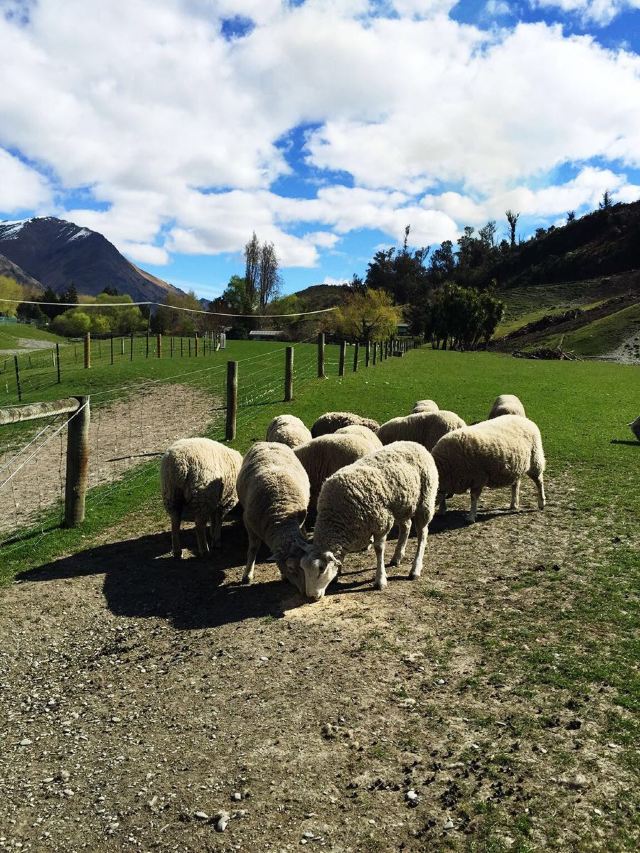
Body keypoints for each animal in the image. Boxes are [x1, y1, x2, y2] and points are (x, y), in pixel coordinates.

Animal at [238, 442, 312, 588]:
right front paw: (247, 575)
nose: (305, 591)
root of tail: (268, 442)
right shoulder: (249, 524)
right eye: (290, 568)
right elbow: (253, 548)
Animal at [300, 440, 440, 600]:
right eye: (303, 567)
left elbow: (379, 550)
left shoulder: (381, 522)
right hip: (403, 505)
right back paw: (397, 557)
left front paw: (380, 580)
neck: (336, 515)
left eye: (321, 569)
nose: (311, 596)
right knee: (406, 526)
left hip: (425, 501)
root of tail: (416, 444)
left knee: (422, 534)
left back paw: (415, 569)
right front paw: (337, 574)